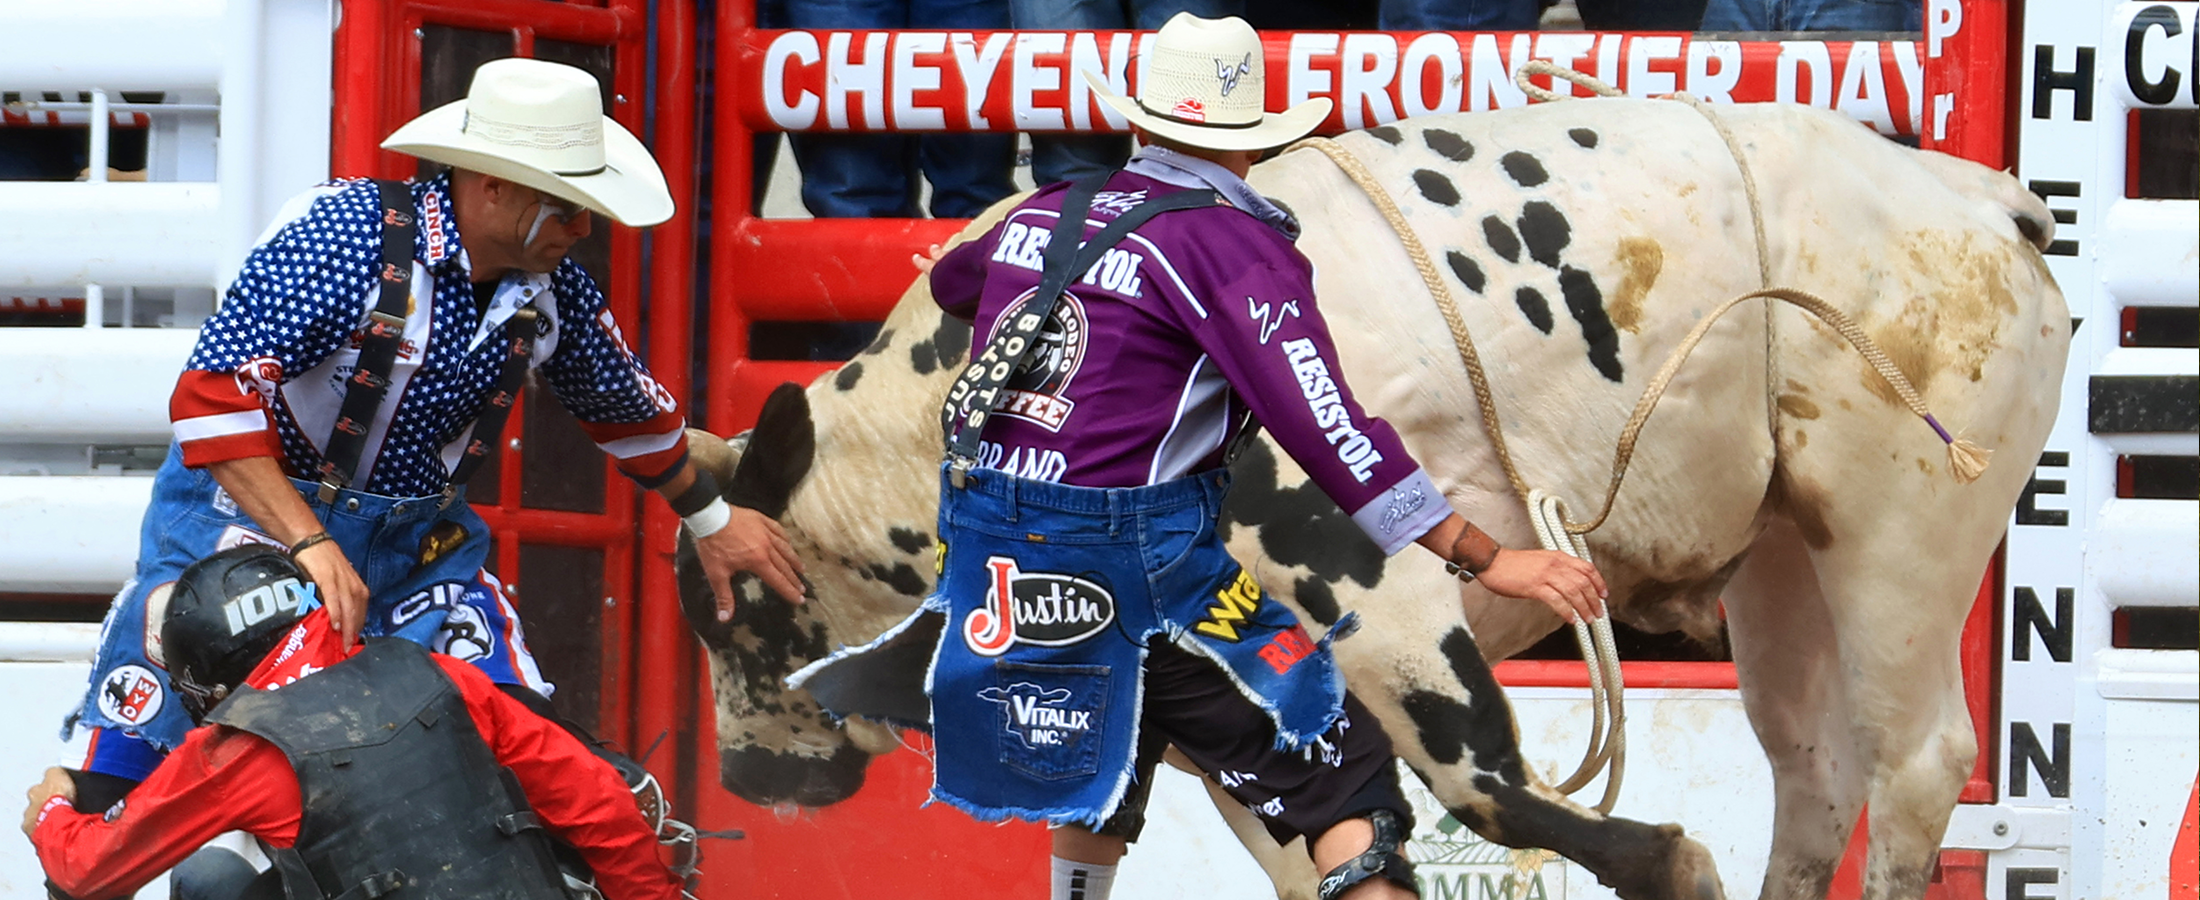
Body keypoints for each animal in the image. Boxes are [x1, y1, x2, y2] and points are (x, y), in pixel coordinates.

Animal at [677, 97, 2068, 897]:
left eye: (744, 610)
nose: (744, 777)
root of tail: (1978, 197)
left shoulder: (1373, 589)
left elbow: (1480, 780)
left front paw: (1670, 865)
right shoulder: (1223, 706)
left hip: (1901, 528)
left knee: (1911, 765)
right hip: (1785, 555)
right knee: (1814, 768)